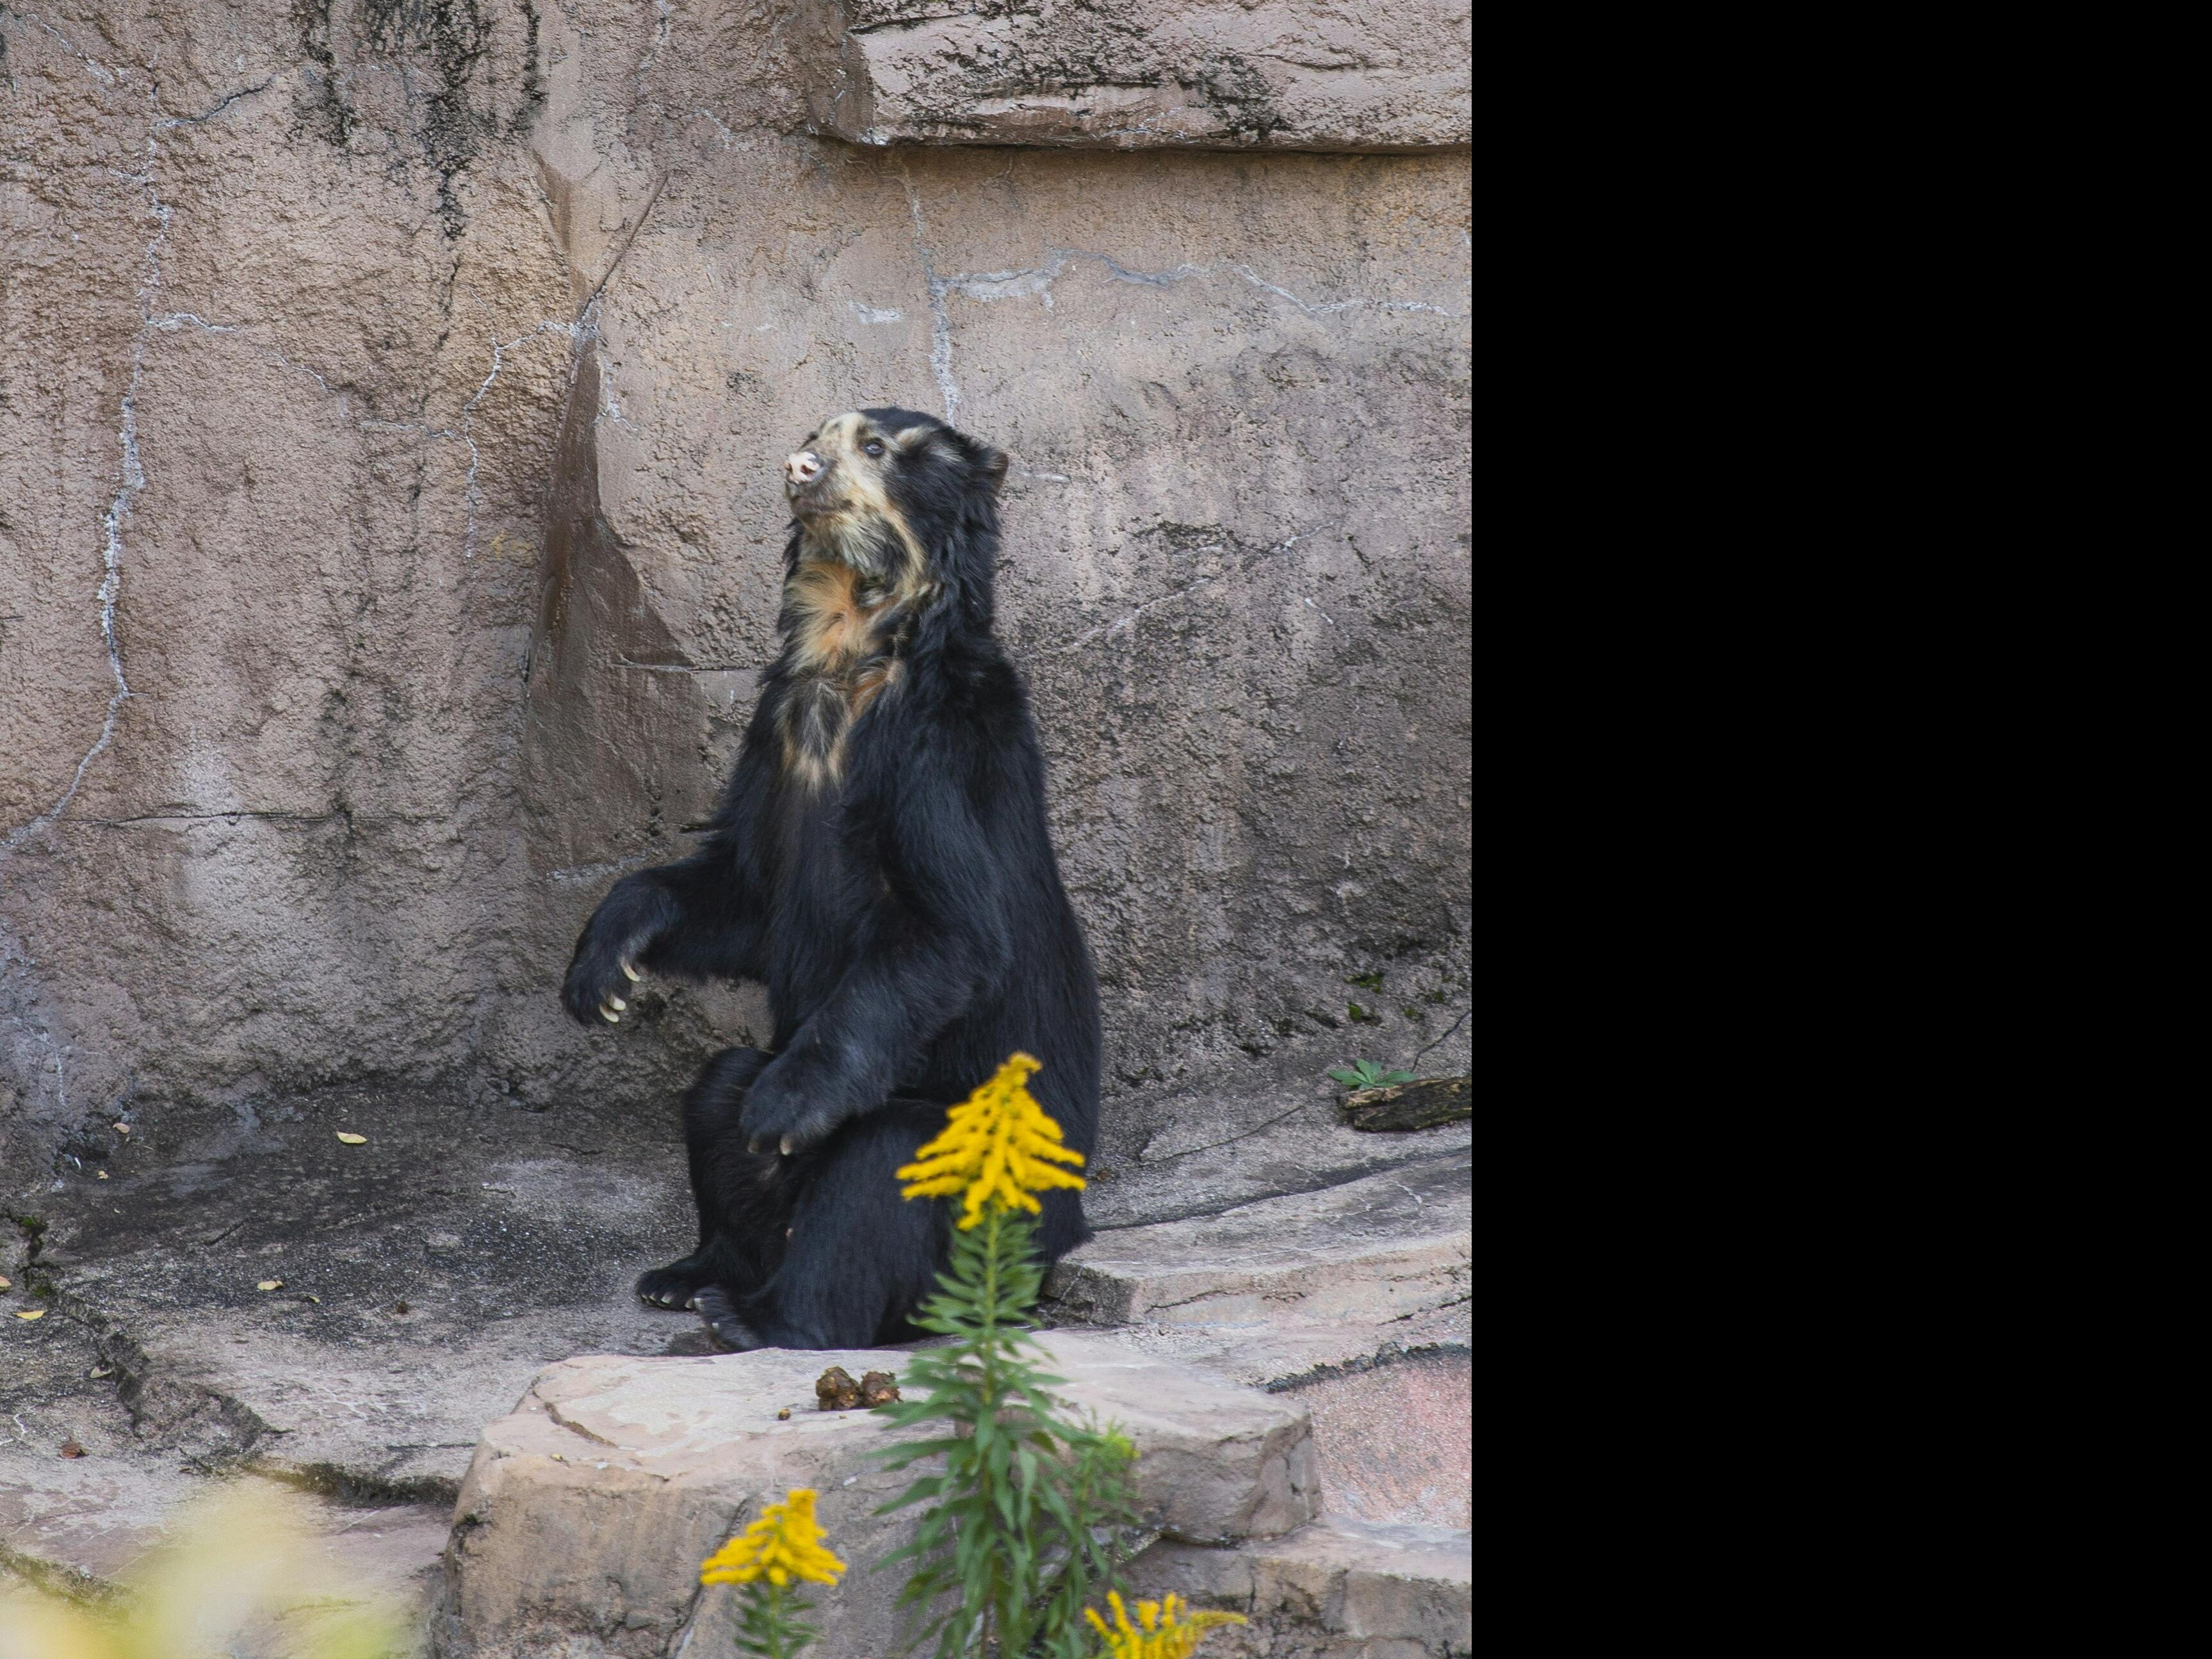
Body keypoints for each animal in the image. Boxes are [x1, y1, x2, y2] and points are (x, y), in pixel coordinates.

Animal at [561, 407, 1102, 1351]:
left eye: (874, 447)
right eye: (818, 430)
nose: (797, 465)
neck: (856, 643)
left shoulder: (932, 755)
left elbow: (951, 932)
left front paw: (785, 1107)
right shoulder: (775, 732)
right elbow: (743, 891)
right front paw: (604, 972)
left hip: (990, 1183)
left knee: (875, 1166)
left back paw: (758, 1312)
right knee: (716, 1097)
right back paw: (689, 1273)